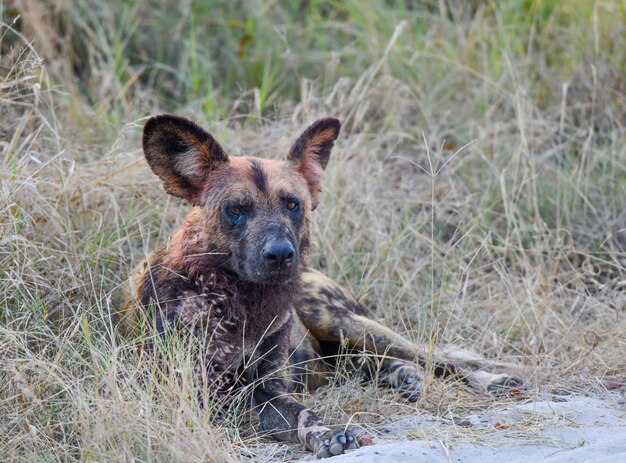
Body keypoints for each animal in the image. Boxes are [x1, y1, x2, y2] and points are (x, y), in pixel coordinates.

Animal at [122, 116, 520, 460]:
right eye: (235, 209)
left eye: (292, 204)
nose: (281, 254)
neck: (241, 302)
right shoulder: (197, 393)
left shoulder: (269, 390)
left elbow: (304, 413)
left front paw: (329, 434)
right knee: (360, 363)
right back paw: (402, 376)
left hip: (342, 322)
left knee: (437, 358)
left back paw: (486, 380)